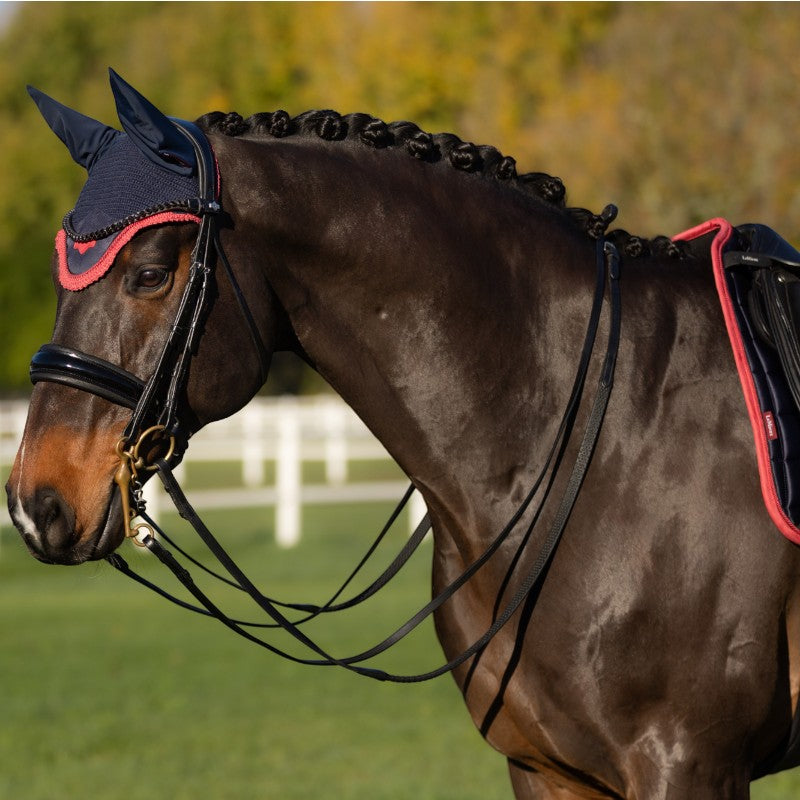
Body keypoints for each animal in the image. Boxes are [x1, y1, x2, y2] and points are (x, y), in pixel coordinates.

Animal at [6, 70, 800, 799]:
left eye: (147, 274)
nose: (36, 505)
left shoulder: (686, 764)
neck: (604, 442)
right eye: (55, 277)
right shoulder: (547, 769)